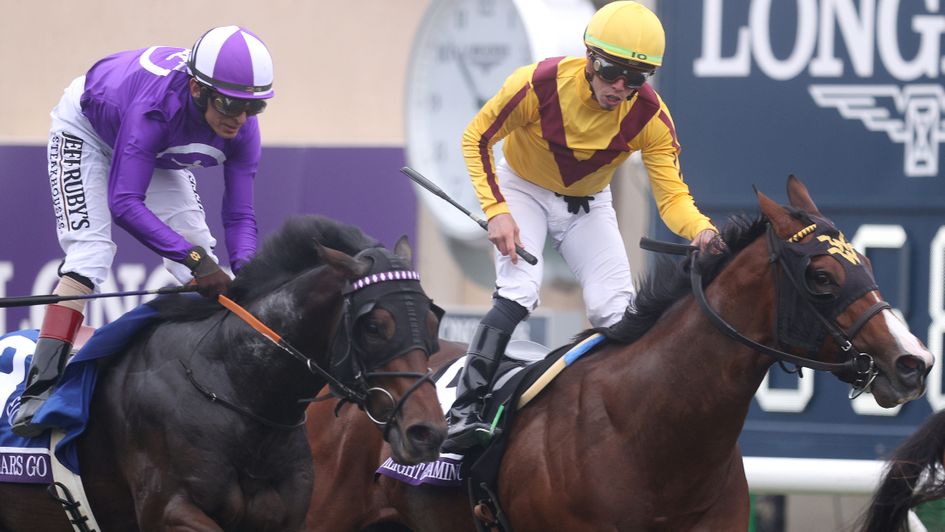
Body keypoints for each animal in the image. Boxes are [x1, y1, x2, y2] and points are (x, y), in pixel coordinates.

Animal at [0, 215, 446, 532]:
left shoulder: (288, 518)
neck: (237, 392)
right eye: (374, 326)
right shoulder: (170, 512)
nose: (427, 432)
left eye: (430, 319)